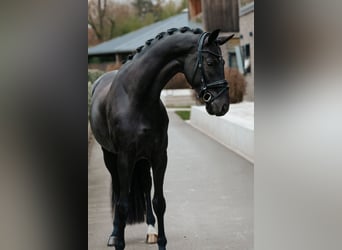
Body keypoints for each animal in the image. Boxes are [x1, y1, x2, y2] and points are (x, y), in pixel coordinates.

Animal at [89, 27, 232, 250]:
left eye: (223, 62)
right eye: (210, 63)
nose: (223, 106)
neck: (137, 99)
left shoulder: (158, 156)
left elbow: (159, 202)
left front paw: (161, 242)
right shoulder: (125, 158)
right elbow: (122, 204)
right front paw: (119, 241)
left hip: (142, 159)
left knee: (146, 186)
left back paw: (150, 231)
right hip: (110, 156)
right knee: (118, 190)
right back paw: (114, 233)